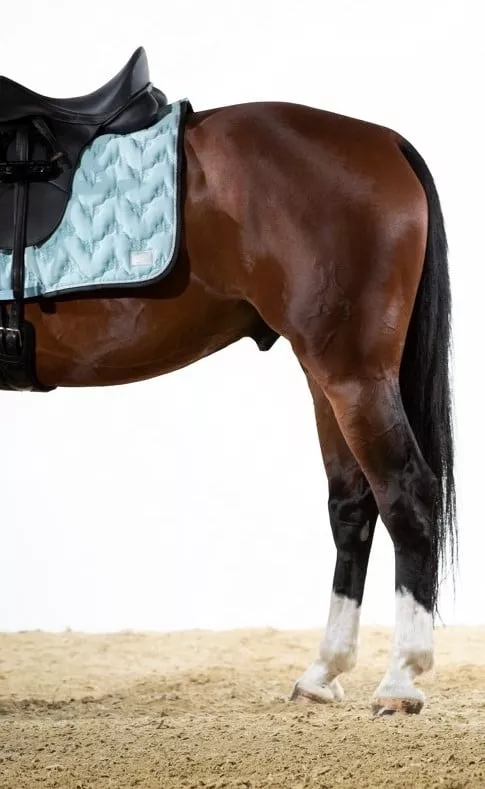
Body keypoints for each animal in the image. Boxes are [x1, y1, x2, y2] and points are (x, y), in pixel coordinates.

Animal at [0, 49, 456, 716]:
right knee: (352, 502)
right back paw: (322, 673)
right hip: (329, 377)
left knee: (407, 494)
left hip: (355, 375)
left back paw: (400, 679)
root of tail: (384, 141)